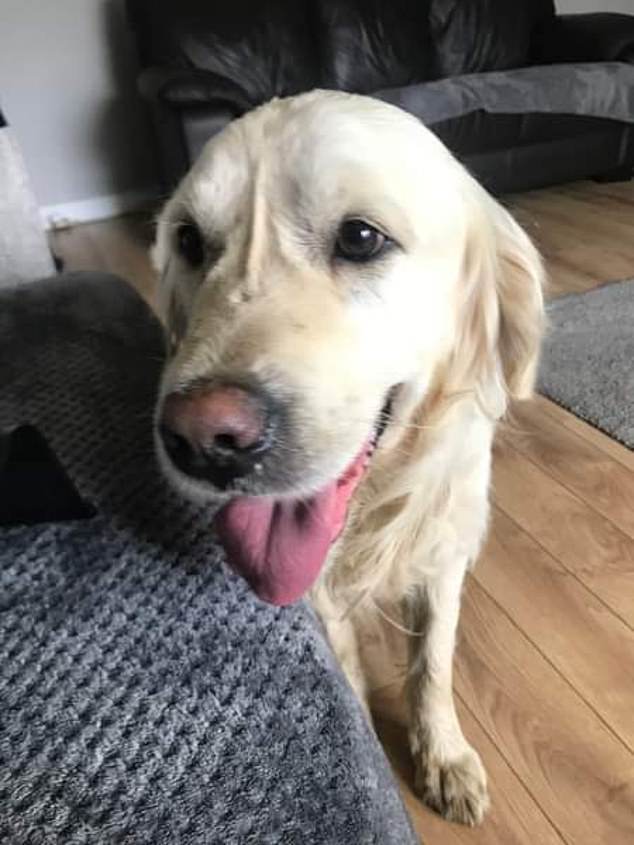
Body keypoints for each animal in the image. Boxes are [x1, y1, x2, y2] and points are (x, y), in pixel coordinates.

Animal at [153, 92, 544, 824]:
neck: (375, 503)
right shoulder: (320, 593)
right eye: (189, 241)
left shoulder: (443, 550)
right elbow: (350, 676)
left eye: (361, 238)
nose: (203, 439)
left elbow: (432, 662)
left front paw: (443, 754)